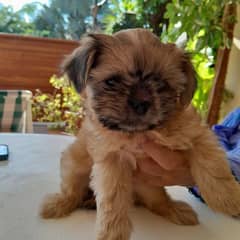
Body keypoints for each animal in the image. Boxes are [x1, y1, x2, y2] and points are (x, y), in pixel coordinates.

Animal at [40, 28, 240, 240]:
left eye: (161, 83)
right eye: (112, 81)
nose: (141, 102)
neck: (141, 132)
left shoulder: (197, 134)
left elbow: (213, 166)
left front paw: (229, 199)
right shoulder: (112, 160)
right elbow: (113, 199)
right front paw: (112, 233)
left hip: (150, 188)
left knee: (158, 202)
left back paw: (176, 210)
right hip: (73, 164)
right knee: (72, 192)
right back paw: (59, 204)